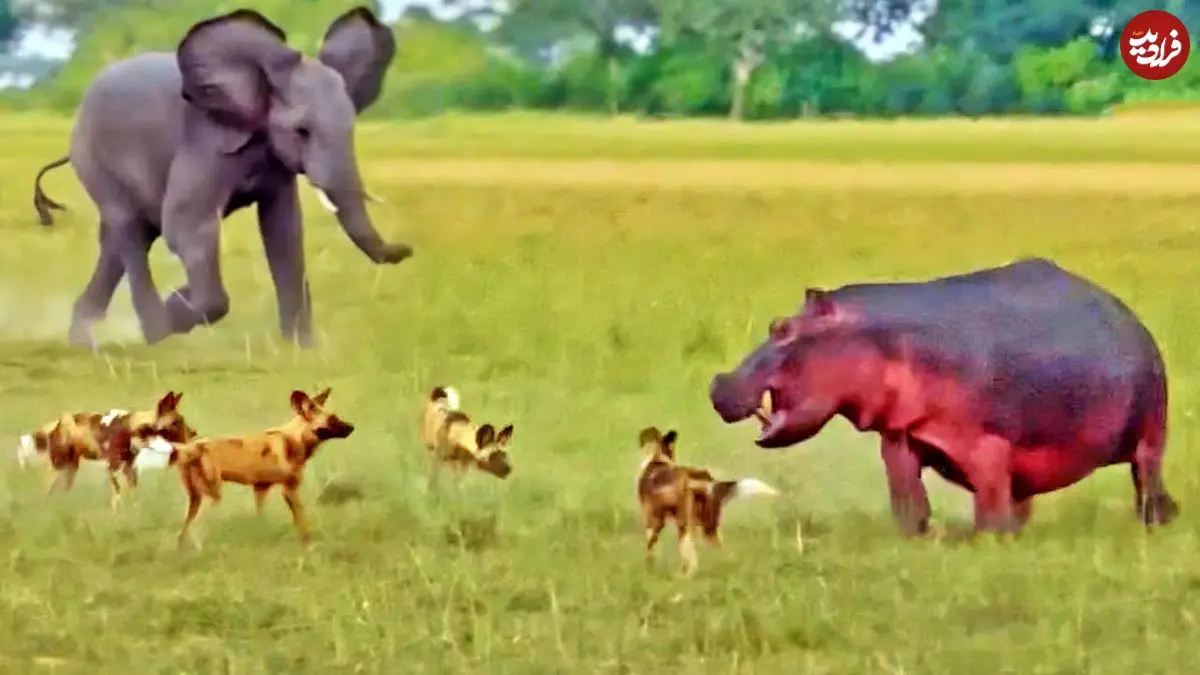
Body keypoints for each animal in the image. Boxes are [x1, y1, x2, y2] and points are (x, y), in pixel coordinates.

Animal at [16, 391, 197, 510]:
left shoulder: (129, 468)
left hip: (71, 469)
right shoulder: (112, 467)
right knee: (49, 488)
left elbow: (131, 492)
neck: (134, 428)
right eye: (177, 422)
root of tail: (58, 422)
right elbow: (117, 493)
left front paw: (134, 511)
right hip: (59, 466)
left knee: (62, 490)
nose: (194, 433)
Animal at [30, 6, 413, 350]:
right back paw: (156, 333)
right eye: (302, 131)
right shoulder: (205, 142)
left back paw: (84, 339)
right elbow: (187, 225)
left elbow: (284, 232)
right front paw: (178, 302)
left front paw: (303, 352)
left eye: (352, 127)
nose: (406, 249)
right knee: (130, 231)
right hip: (95, 159)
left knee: (125, 237)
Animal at [161, 387, 354, 549]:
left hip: (196, 499)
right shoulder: (289, 490)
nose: (352, 427)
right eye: (332, 419)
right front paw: (308, 546)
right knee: (197, 528)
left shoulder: (261, 488)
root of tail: (193, 447)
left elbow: (260, 518)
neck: (294, 440)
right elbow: (302, 524)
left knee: (183, 532)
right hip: (213, 496)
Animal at [636, 426, 779, 575]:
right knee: (725, 554)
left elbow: (650, 551)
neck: (658, 459)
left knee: (693, 563)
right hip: (709, 529)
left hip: (684, 527)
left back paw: (682, 577)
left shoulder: (652, 522)